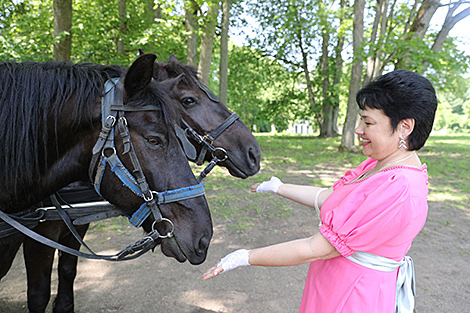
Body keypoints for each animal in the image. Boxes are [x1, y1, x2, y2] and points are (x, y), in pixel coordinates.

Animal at [1, 54, 262, 312]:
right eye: (189, 100)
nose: (254, 153)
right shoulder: (39, 237)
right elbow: (39, 294)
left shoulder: (75, 228)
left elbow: (67, 270)